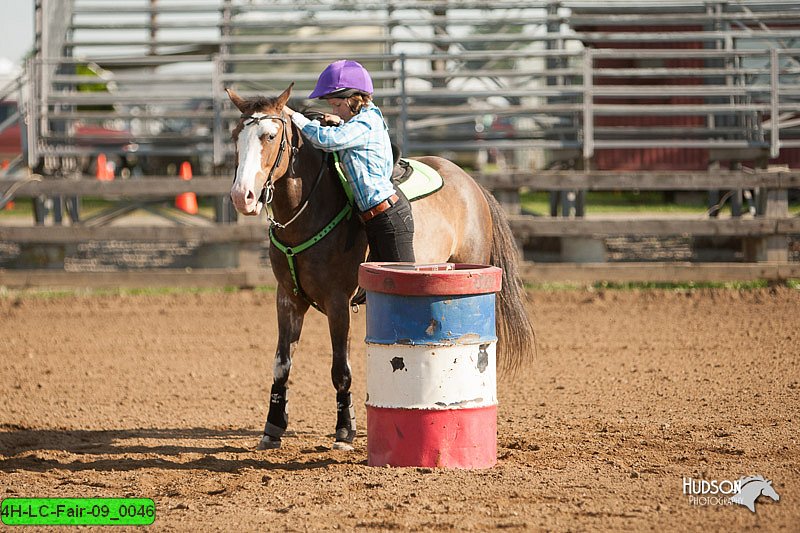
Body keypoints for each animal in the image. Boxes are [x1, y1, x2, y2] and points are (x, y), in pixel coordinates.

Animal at [228, 84, 536, 448]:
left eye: (271, 135)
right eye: (235, 136)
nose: (242, 196)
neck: (310, 211)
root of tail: (472, 184)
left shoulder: (338, 301)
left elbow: (341, 370)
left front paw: (345, 431)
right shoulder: (287, 298)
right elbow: (281, 365)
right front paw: (273, 429)